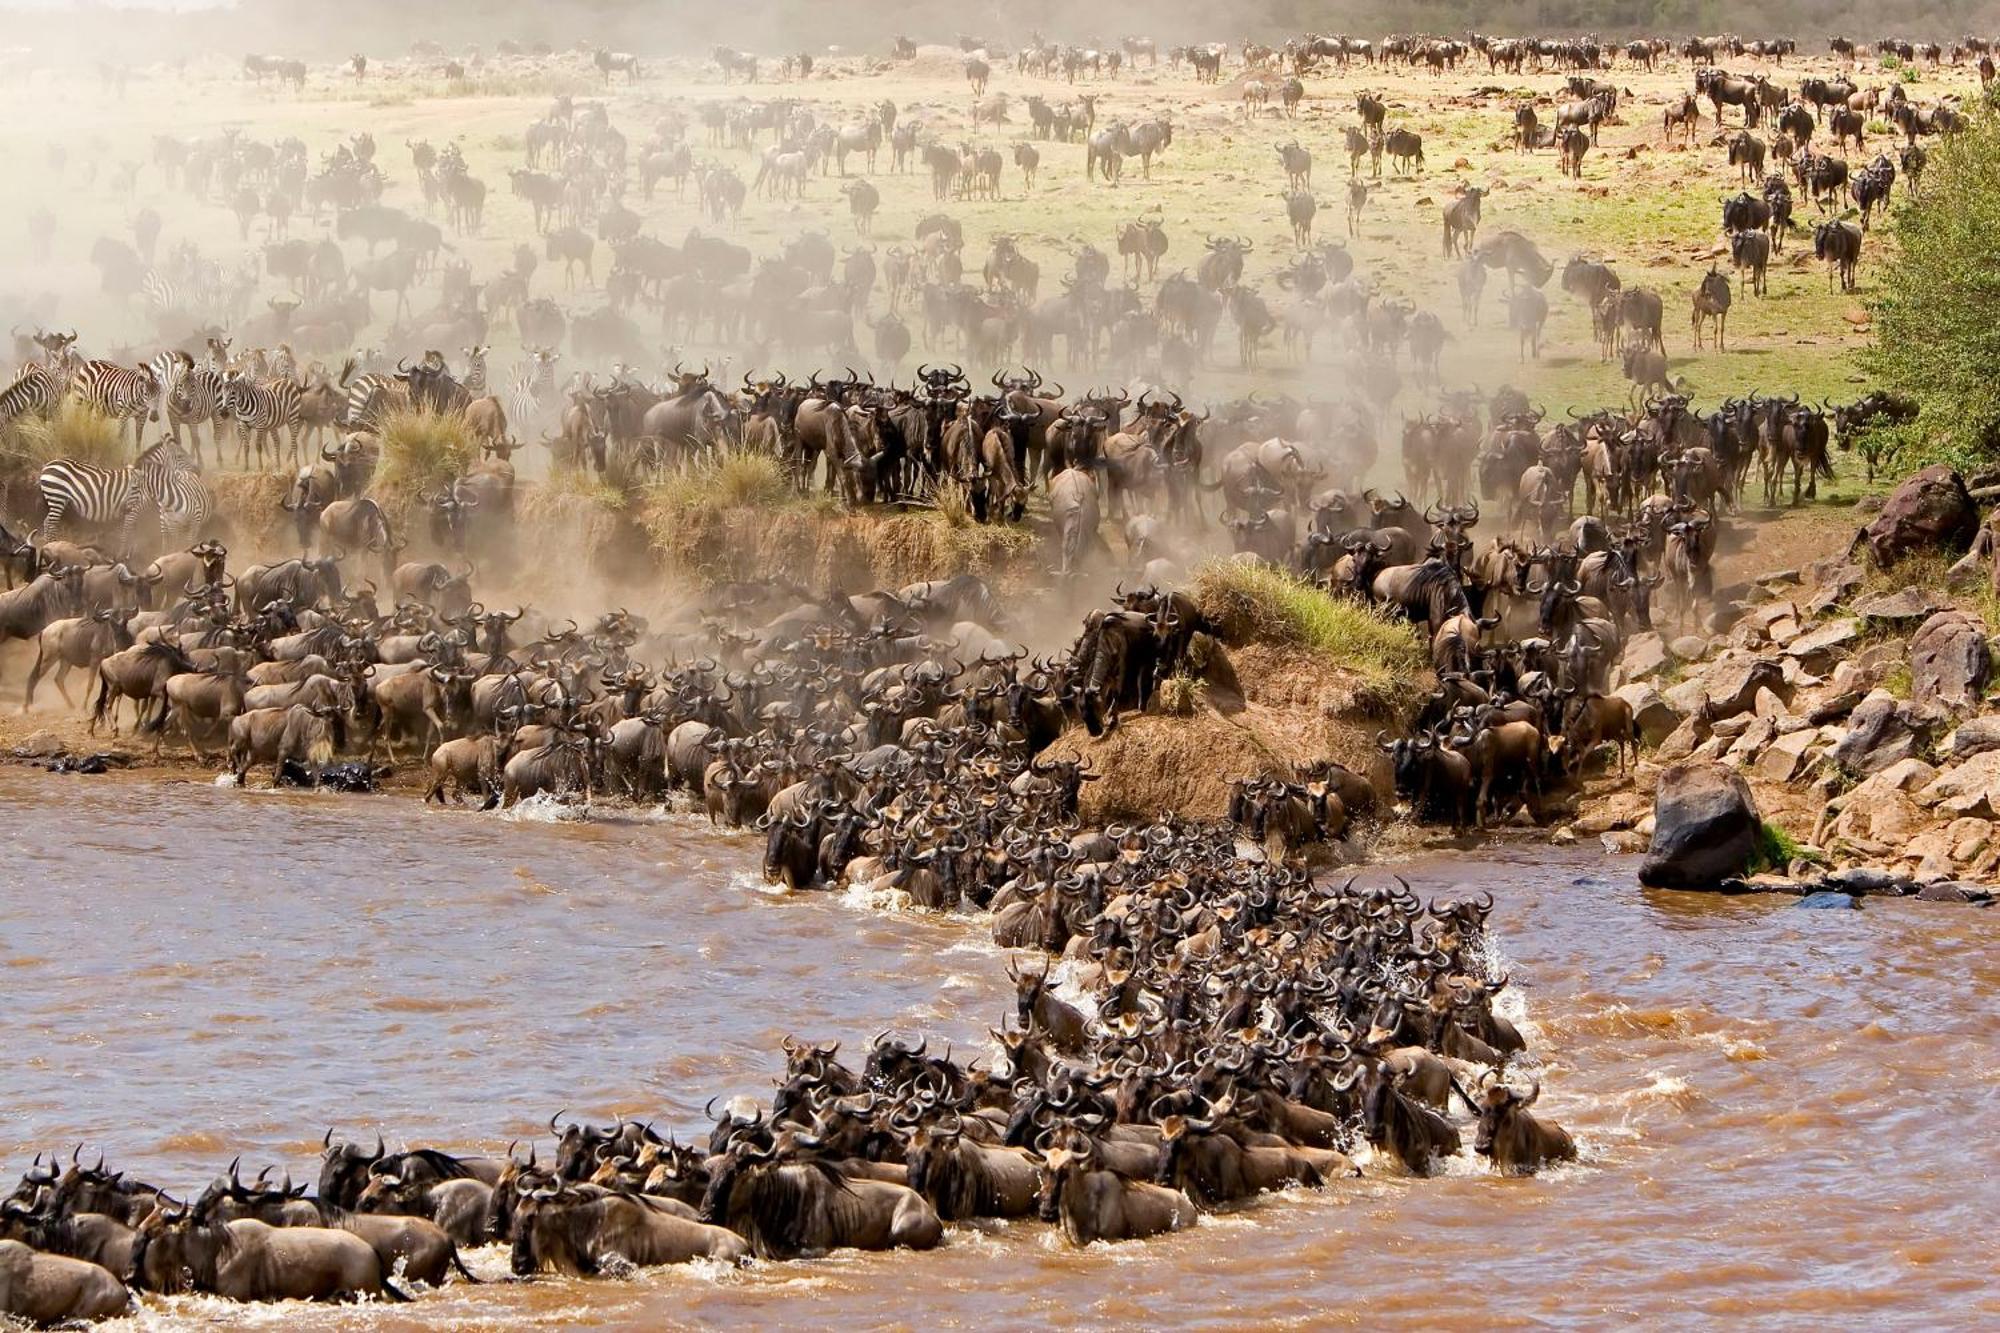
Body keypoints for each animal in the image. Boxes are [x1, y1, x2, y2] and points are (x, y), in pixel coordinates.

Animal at [33, 440, 207, 548]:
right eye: (181, 456)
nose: (199, 472)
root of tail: (47, 466)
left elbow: (132, 533)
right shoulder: (133, 508)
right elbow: (126, 532)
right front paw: (123, 555)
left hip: (57, 499)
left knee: (47, 523)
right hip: (57, 497)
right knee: (50, 524)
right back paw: (51, 547)